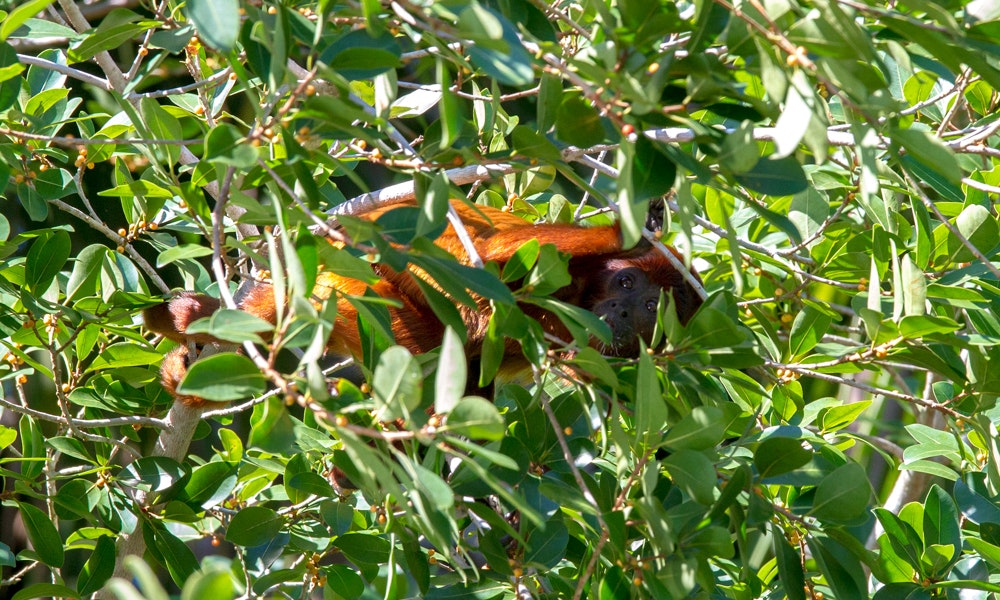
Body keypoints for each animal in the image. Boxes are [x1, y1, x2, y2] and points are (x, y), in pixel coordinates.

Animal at [144, 200, 703, 405]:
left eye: (651, 311)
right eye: (627, 284)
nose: (623, 313)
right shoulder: (571, 255)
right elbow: (492, 262)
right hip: (358, 290)